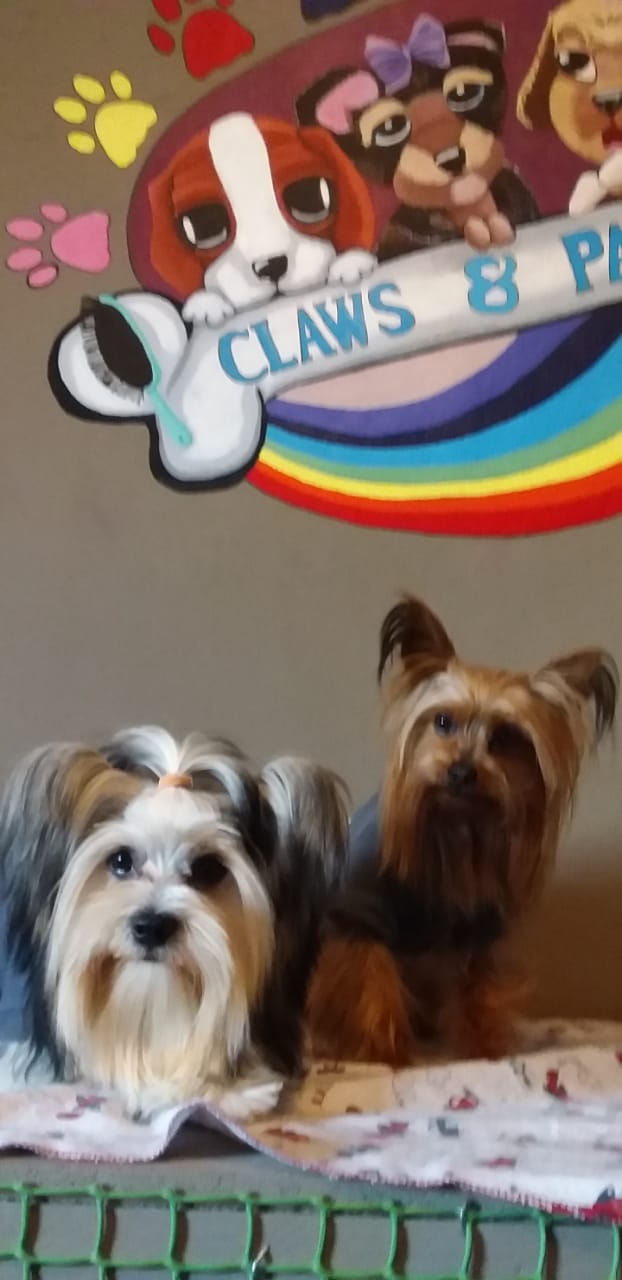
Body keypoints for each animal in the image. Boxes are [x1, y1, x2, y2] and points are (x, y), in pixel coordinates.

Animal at [307, 595, 617, 1066]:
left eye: (507, 737)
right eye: (442, 722)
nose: (460, 771)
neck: (455, 825)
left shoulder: (480, 930)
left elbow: (479, 989)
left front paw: (484, 1047)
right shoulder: (360, 917)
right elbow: (369, 981)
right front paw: (383, 1052)